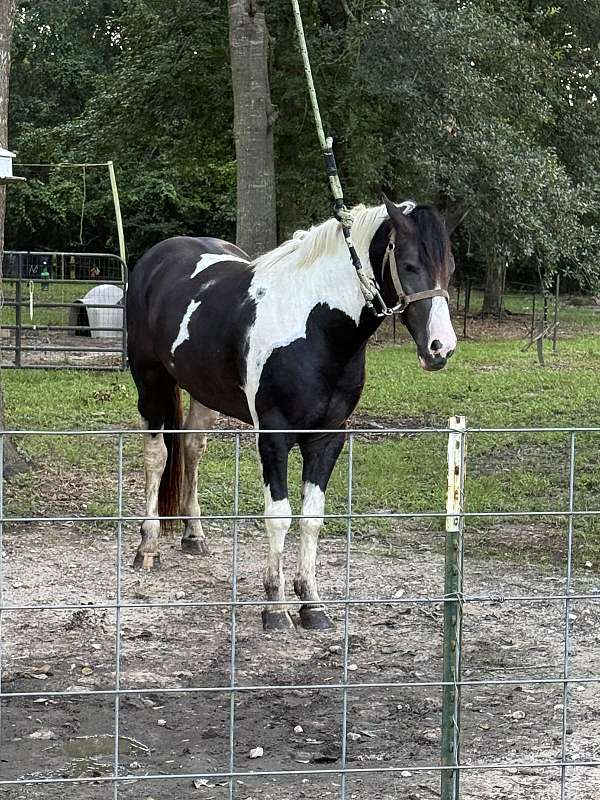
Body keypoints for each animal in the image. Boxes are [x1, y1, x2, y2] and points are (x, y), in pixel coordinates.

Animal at [126, 196, 459, 631]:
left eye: (449, 266)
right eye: (408, 265)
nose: (441, 348)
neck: (314, 325)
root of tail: (157, 258)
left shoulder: (327, 438)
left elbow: (312, 518)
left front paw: (312, 604)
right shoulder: (274, 437)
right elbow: (279, 516)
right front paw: (275, 607)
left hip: (202, 392)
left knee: (192, 448)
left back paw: (194, 535)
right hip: (150, 381)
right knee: (157, 455)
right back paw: (147, 546)